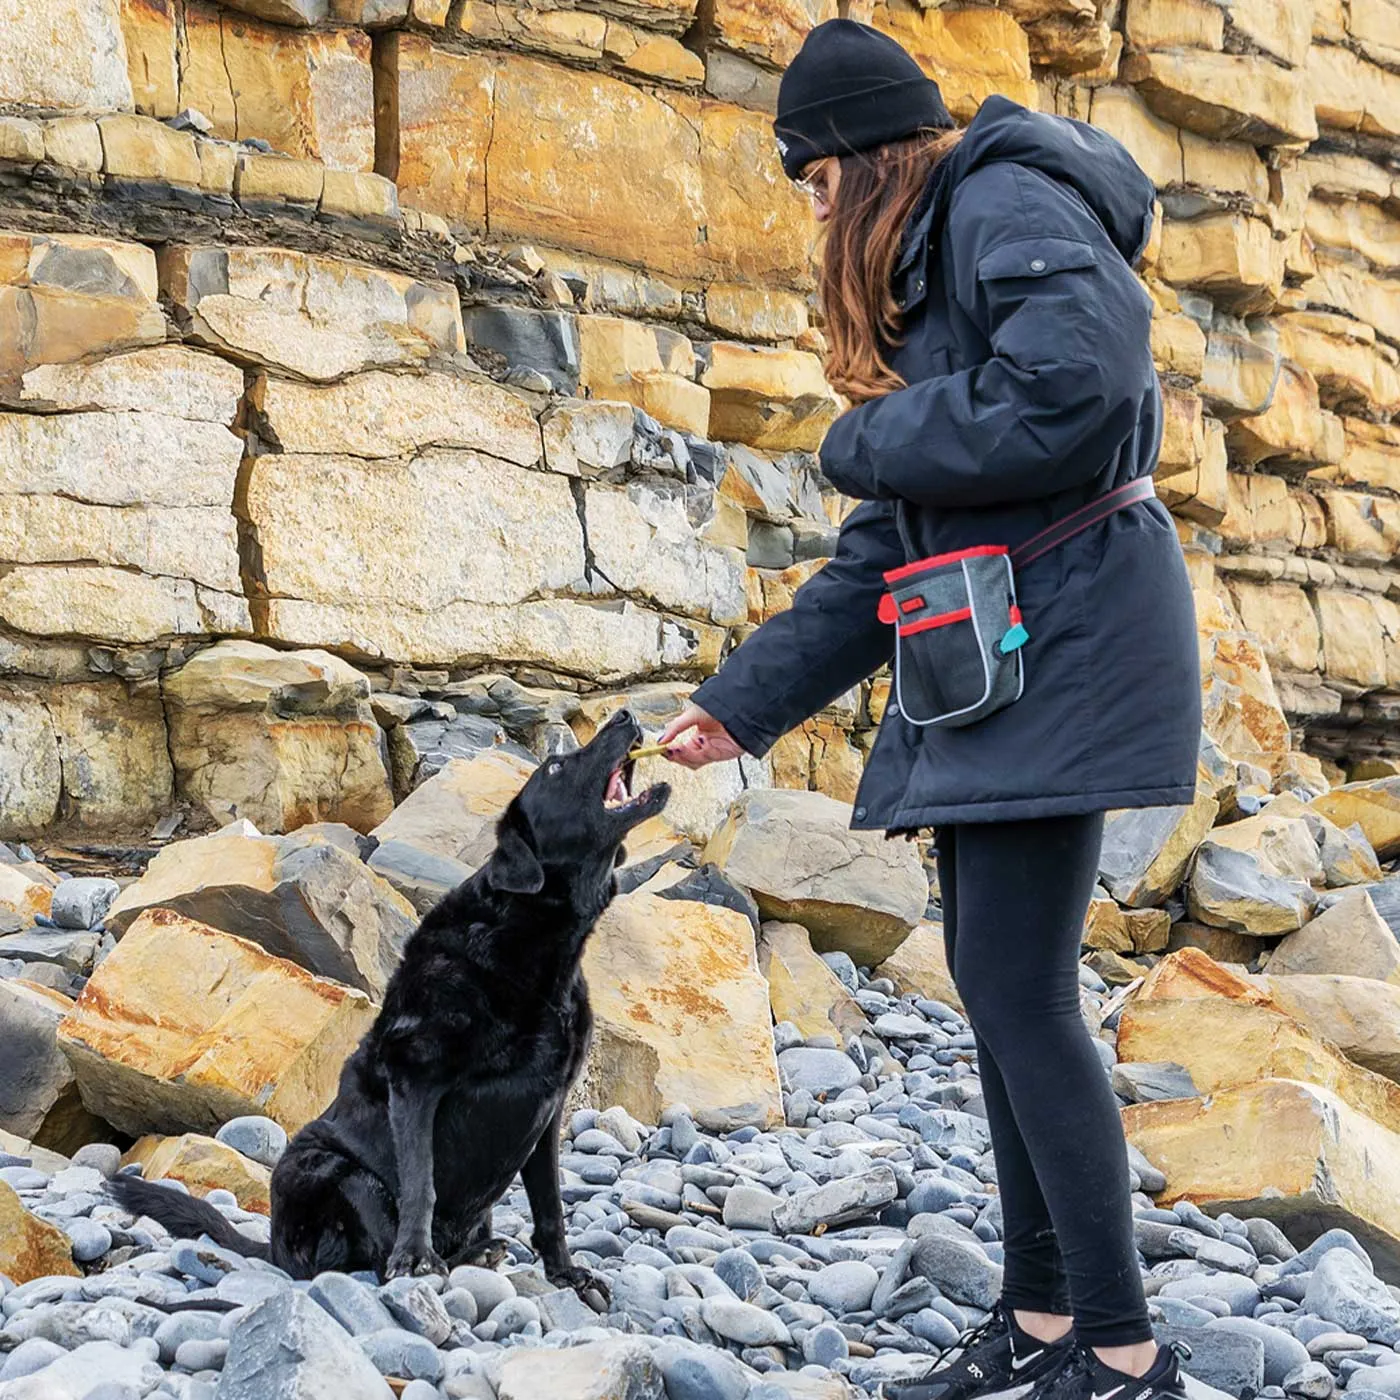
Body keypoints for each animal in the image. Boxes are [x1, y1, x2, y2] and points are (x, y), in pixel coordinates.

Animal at [112, 716, 669, 1293]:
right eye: (556, 767)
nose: (625, 717)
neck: (531, 940)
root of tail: (272, 1249)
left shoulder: (547, 1107)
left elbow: (551, 1205)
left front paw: (567, 1273)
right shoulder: (417, 1077)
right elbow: (420, 1183)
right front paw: (415, 1258)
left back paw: (481, 1251)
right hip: (329, 1167)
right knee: (360, 1246)